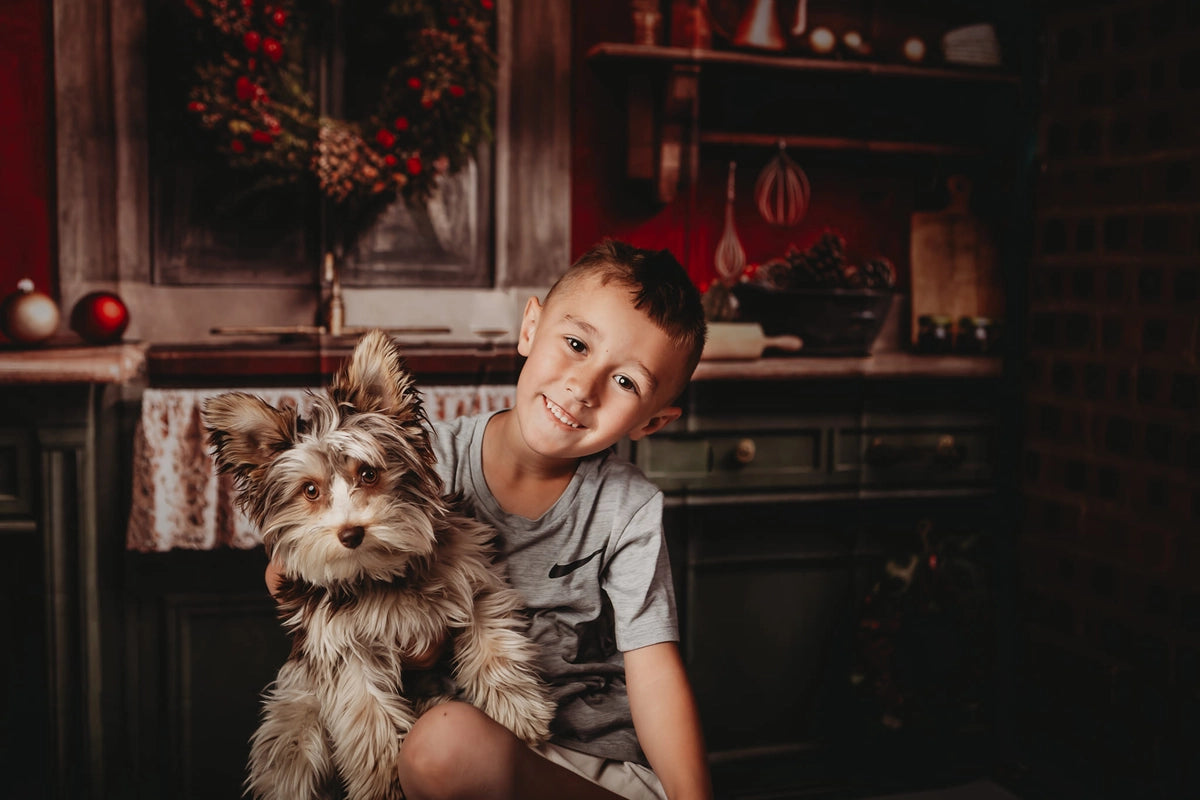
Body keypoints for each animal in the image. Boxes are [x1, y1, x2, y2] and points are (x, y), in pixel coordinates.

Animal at [205, 328, 556, 796]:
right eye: (310, 491)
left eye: (369, 473)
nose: (351, 533)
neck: (380, 573)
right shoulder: (344, 646)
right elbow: (368, 716)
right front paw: (386, 780)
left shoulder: (474, 579)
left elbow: (494, 644)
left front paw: (518, 709)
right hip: (294, 718)